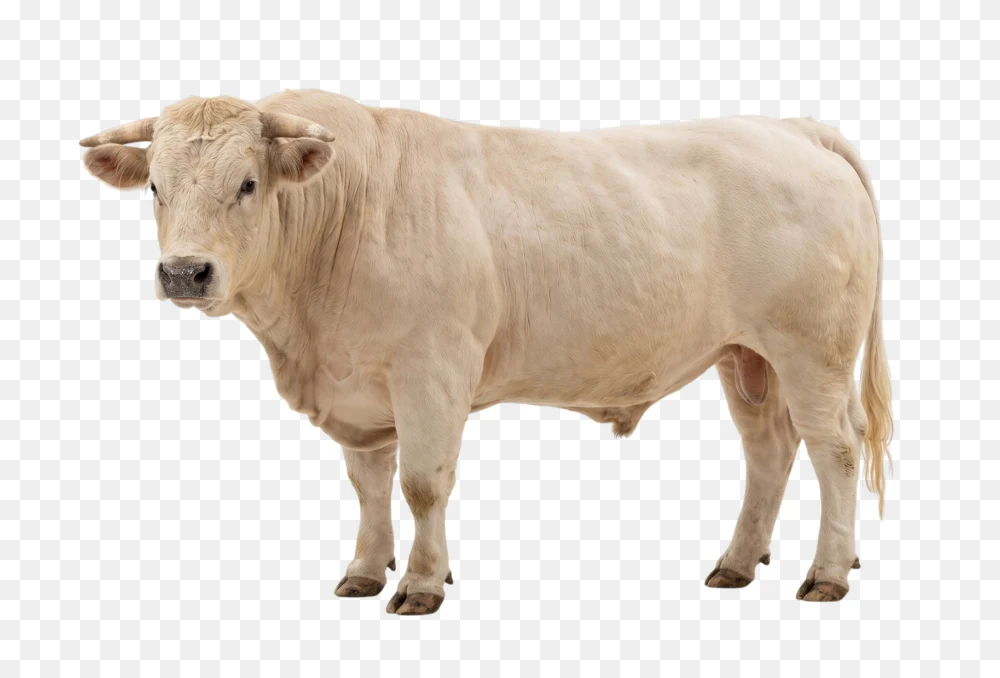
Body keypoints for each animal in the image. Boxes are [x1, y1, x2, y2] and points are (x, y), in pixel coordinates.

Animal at [80, 89, 892, 614]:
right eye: (155, 187)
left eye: (248, 182)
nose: (185, 273)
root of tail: (791, 127)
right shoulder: (359, 382)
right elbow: (369, 484)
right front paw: (364, 571)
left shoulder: (432, 370)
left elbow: (422, 484)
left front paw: (420, 584)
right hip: (745, 356)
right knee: (769, 449)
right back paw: (737, 562)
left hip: (812, 350)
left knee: (835, 447)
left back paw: (828, 573)